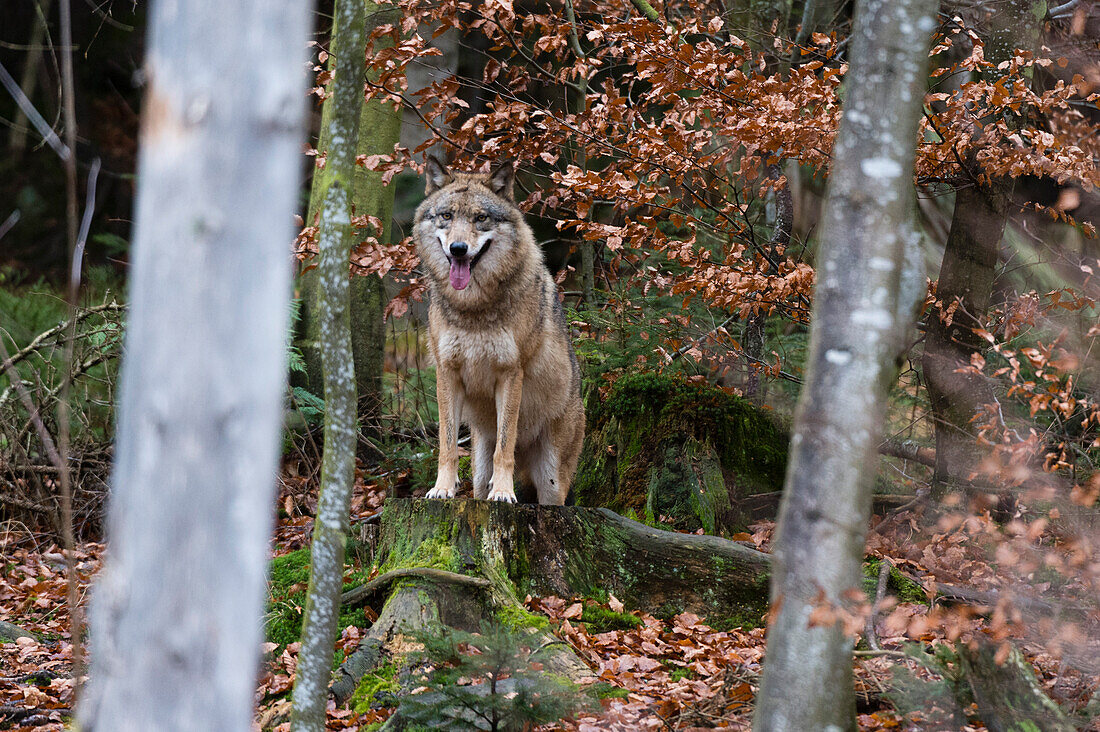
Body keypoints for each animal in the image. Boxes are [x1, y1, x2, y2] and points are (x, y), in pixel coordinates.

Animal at [413, 157, 585, 506]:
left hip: (551, 481)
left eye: (480, 218)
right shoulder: (447, 373)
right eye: (447, 216)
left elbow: (505, 446)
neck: (473, 308)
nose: (459, 248)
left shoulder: (510, 373)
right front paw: (442, 489)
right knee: (481, 481)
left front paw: (504, 493)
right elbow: (447, 445)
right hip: (479, 468)